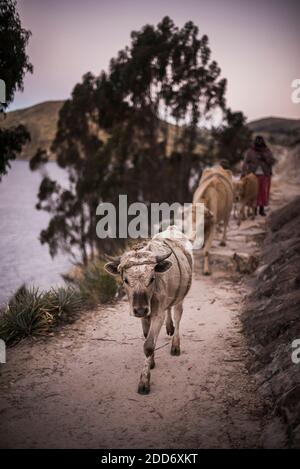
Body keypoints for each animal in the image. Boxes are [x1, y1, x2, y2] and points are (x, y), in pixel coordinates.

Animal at [104, 225, 193, 394]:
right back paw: (169, 327)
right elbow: (147, 337)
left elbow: (149, 345)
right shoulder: (145, 315)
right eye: (125, 279)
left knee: (178, 316)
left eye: (152, 278)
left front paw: (144, 382)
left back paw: (175, 345)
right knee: (169, 310)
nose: (139, 310)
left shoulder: (157, 314)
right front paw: (151, 362)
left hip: (181, 297)